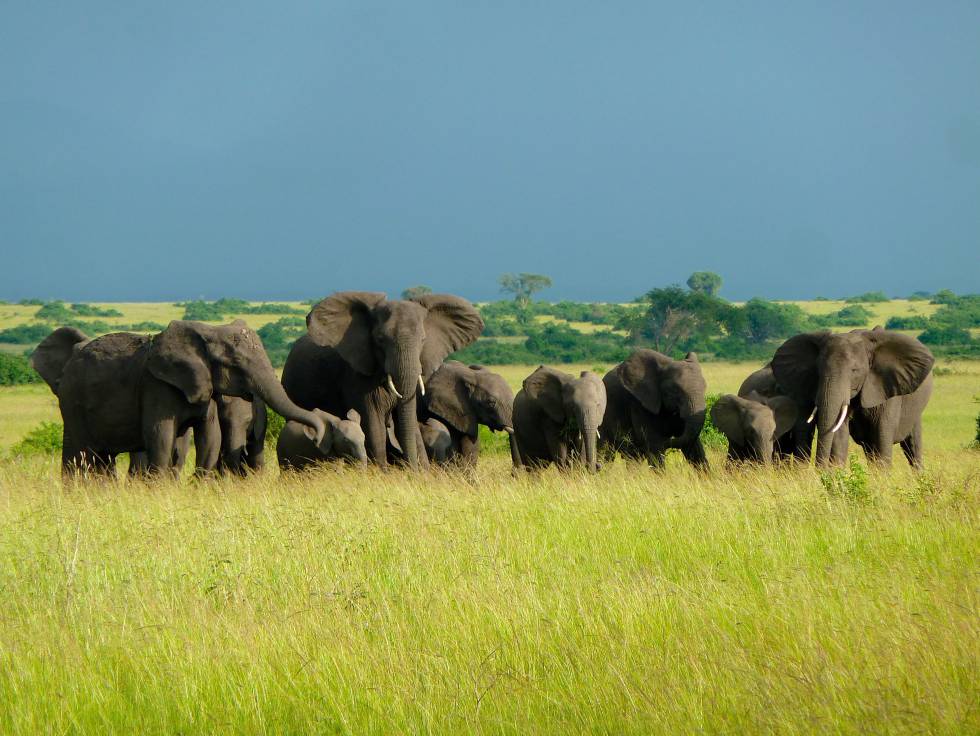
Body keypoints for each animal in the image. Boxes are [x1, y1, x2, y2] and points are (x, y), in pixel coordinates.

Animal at [32, 322, 324, 478]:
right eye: (236, 364)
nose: (316, 435)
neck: (204, 333)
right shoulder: (156, 387)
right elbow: (160, 435)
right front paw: (157, 489)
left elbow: (210, 434)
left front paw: (199, 484)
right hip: (72, 401)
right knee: (85, 454)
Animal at [772, 328, 936, 466]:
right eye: (818, 370)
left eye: (854, 371)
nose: (819, 469)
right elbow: (839, 434)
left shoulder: (886, 390)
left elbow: (882, 436)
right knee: (870, 449)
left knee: (913, 446)